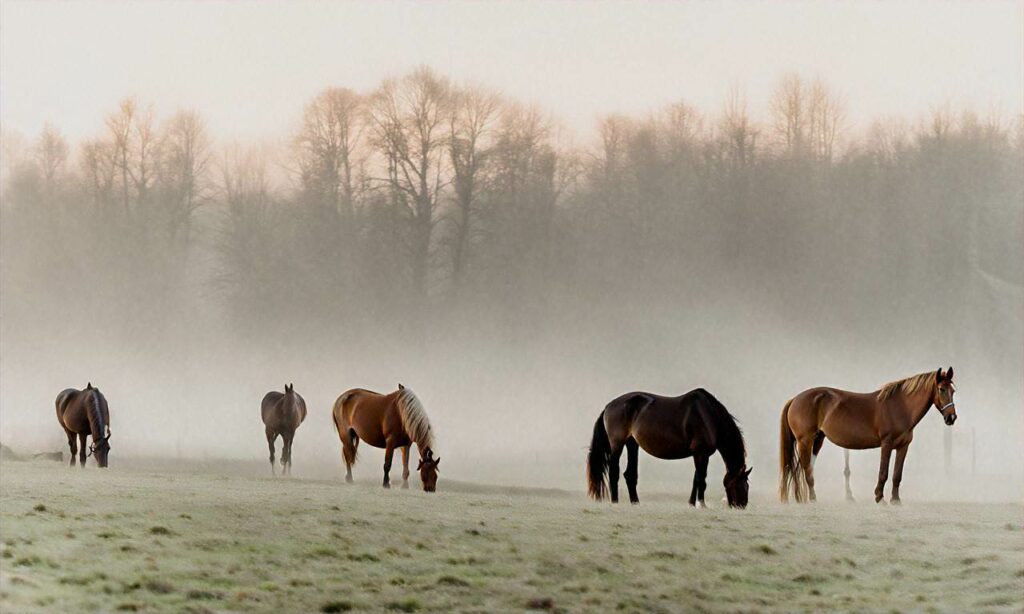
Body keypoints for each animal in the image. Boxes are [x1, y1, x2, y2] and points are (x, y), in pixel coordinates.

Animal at [585, 388, 753, 507]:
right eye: (742, 486)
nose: (742, 506)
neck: (710, 417)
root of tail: (609, 406)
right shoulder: (701, 453)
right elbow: (701, 479)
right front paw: (701, 504)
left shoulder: (698, 454)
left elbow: (696, 479)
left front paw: (691, 503)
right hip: (617, 445)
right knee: (614, 471)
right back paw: (615, 502)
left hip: (632, 444)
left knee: (629, 474)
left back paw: (635, 502)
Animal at [782, 364, 958, 503]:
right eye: (941, 389)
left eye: (953, 391)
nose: (951, 418)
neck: (900, 407)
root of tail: (795, 399)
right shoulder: (886, 444)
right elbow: (883, 473)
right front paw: (879, 498)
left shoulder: (903, 446)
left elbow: (897, 475)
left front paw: (896, 500)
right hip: (805, 441)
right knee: (806, 469)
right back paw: (812, 499)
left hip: (818, 440)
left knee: (808, 468)